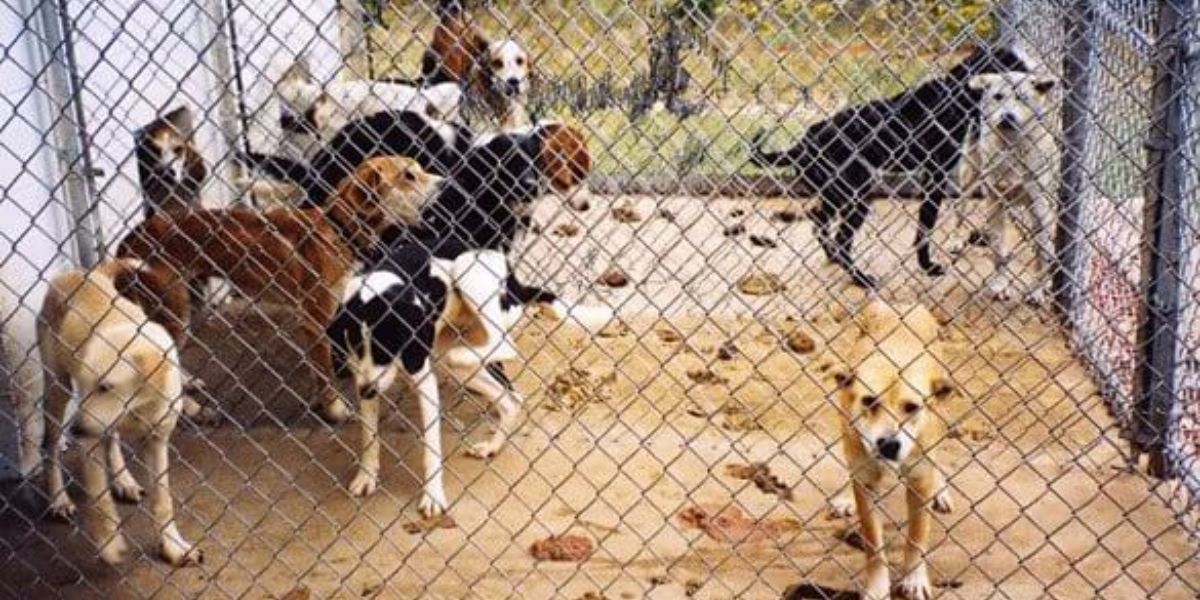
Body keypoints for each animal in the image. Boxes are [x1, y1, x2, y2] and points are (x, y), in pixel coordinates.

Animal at [36, 260, 199, 564]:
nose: (75, 431)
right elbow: (100, 499)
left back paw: (124, 481)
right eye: (88, 384)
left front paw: (173, 546)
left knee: (111, 439)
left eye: (105, 387)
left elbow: (163, 500)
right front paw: (109, 542)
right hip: (56, 389)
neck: (137, 408)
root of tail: (80, 273)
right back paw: (59, 499)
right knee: (50, 445)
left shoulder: (158, 440)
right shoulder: (89, 441)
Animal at [117, 157, 444, 424]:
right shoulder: (315, 320)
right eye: (409, 175)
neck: (338, 228)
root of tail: (131, 237)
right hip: (173, 307)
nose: (446, 182)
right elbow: (325, 374)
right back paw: (192, 409)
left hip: (189, 303)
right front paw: (334, 410)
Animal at [748, 45, 1032, 288]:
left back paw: (834, 260)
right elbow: (926, 227)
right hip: (856, 197)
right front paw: (927, 266)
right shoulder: (936, 176)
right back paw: (861, 279)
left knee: (819, 223)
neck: (958, 94)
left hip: (834, 195)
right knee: (840, 241)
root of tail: (803, 143)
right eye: (1015, 68)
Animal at [835, 300, 955, 600]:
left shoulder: (920, 480)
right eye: (869, 401)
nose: (889, 444)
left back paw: (941, 490)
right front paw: (877, 587)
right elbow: (872, 542)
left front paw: (914, 579)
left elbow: (917, 536)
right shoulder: (865, 478)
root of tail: (902, 304)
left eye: (911, 407)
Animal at [955, 71, 1060, 304]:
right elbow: (999, 253)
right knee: (960, 209)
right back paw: (955, 241)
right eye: (998, 97)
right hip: (969, 178)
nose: (1008, 116)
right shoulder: (996, 202)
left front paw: (1037, 290)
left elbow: (1042, 254)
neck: (1012, 149)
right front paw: (999, 285)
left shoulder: (1040, 208)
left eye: (1022, 99)